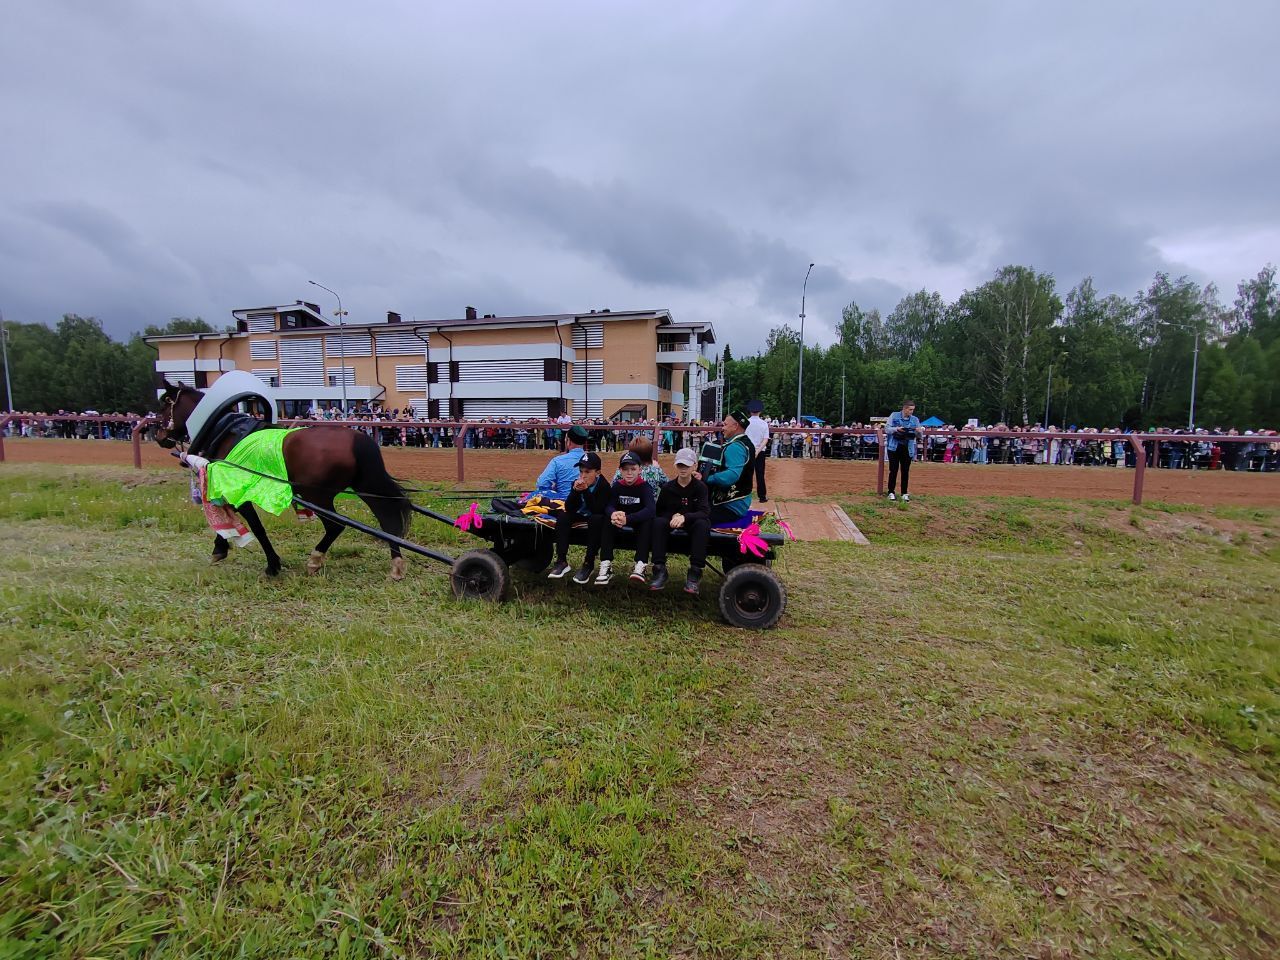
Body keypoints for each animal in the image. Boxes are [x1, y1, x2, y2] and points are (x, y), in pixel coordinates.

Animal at [152, 384, 414, 578]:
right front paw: (220, 549)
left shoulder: (238, 491)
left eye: (165, 403)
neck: (225, 431)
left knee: (336, 526)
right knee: (387, 521)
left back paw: (315, 559)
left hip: (316, 495)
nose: (159, 436)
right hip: (364, 487)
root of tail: (358, 439)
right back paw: (396, 564)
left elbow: (256, 527)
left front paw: (272, 565)